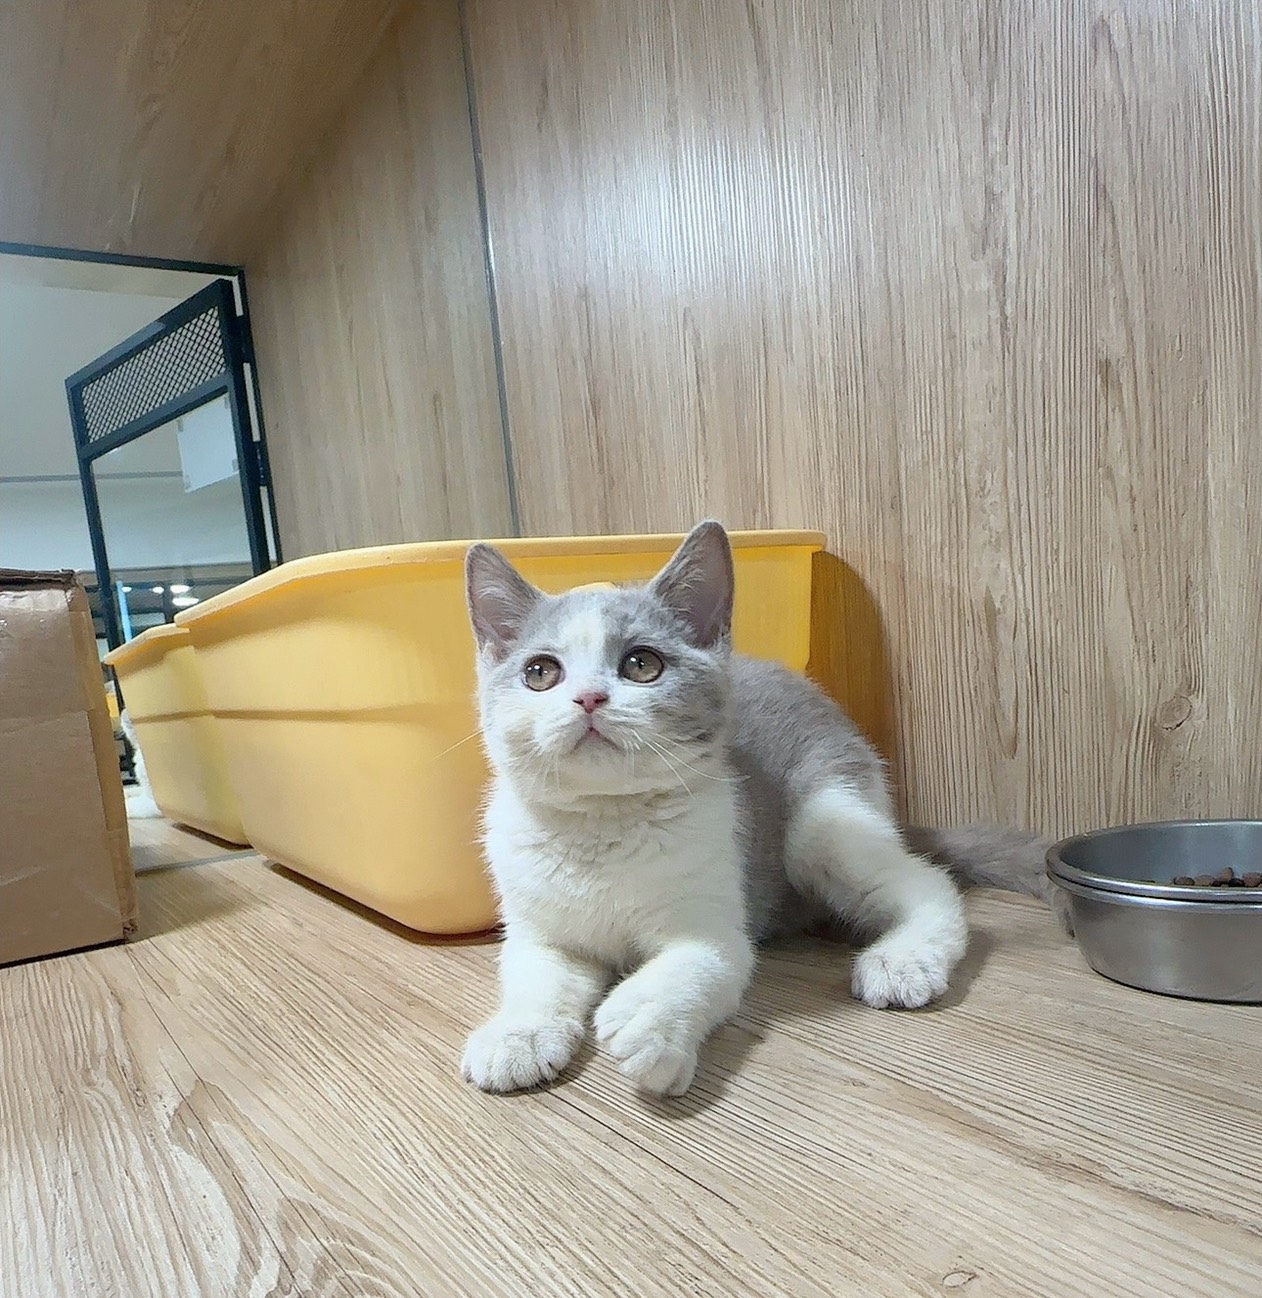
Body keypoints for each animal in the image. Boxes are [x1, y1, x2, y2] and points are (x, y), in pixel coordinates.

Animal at [461, 521, 1054, 1098]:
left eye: (642, 664)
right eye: (540, 672)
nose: (588, 698)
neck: (603, 827)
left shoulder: (717, 915)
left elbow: (699, 962)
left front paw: (648, 1022)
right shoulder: (537, 932)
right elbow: (535, 978)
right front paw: (516, 1036)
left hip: (822, 820)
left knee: (927, 882)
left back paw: (903, 959)